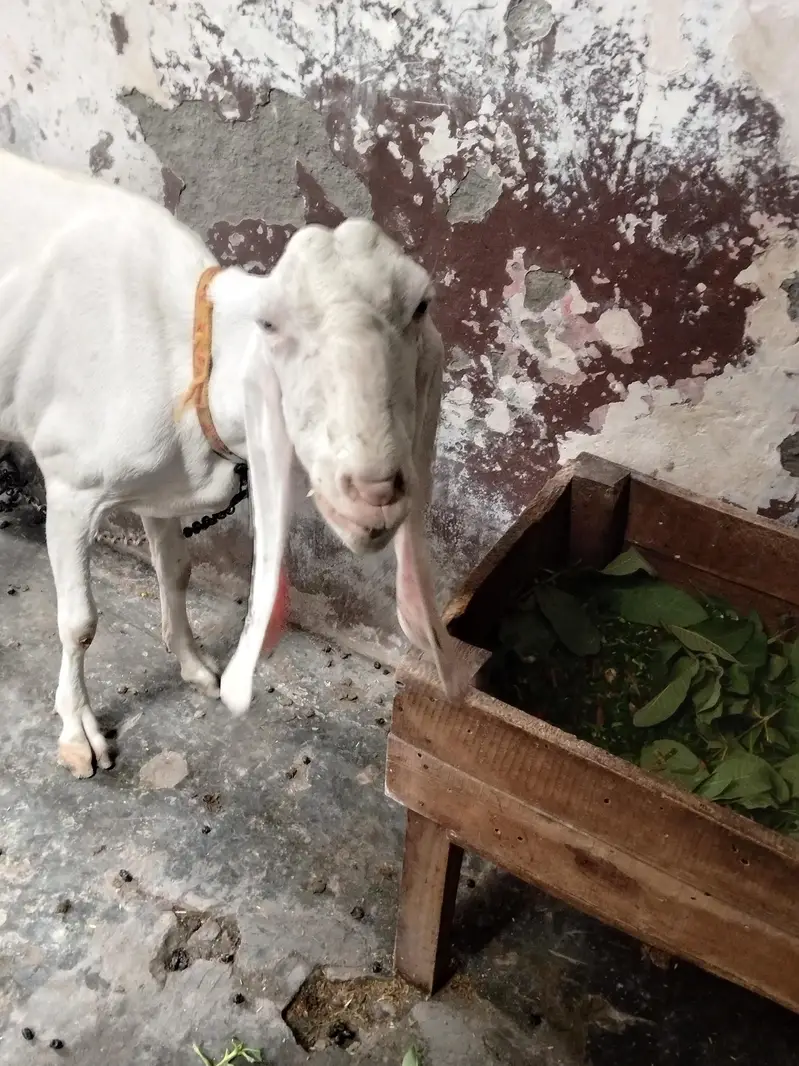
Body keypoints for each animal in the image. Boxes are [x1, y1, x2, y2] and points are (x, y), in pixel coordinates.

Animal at [0, 150, 465, 778]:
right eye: (270, 323)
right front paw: (78, 734)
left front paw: (195, 666)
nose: (372, 489)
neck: (188, 359)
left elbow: (176, 571)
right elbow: (79, 623)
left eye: (421, 305)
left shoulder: (161, 488)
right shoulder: (71, 486)